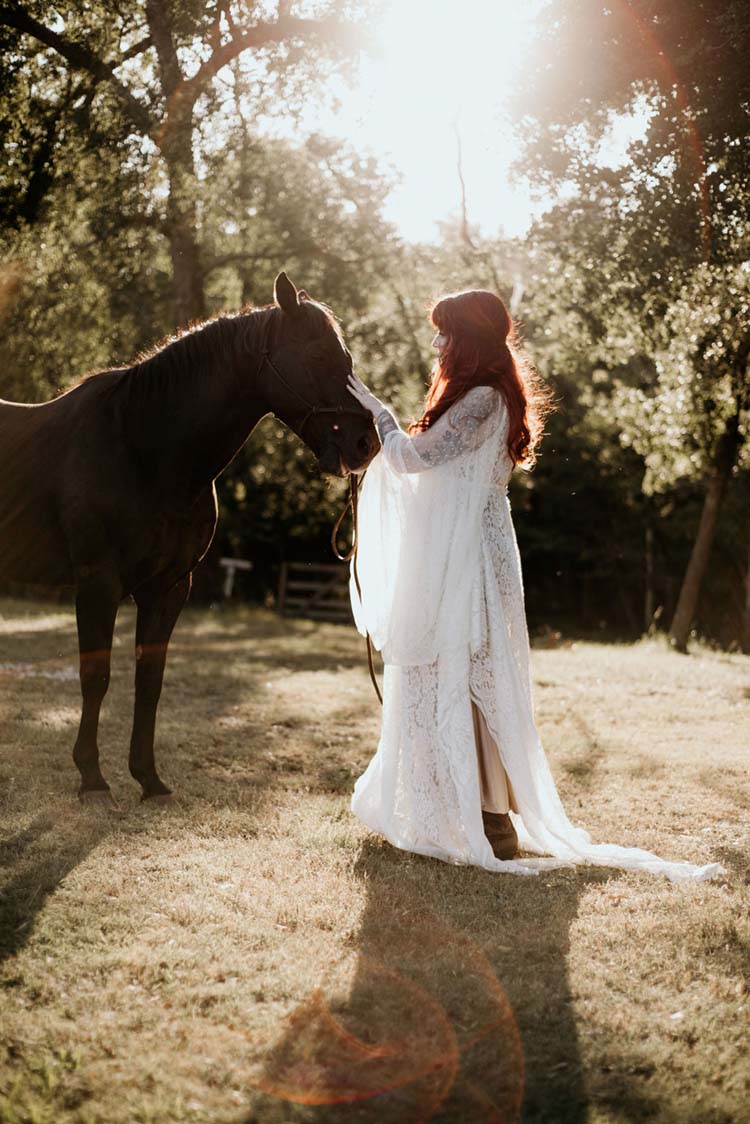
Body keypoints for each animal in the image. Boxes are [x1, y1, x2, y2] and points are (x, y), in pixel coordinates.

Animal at [0, 272, 375, 800]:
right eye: (320, 356)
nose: (366, 444)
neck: (142, 447)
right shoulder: (97, 584)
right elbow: (96, 675)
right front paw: (92, 777)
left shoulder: (170, 588)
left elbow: (149, 681)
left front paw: (148, 777)